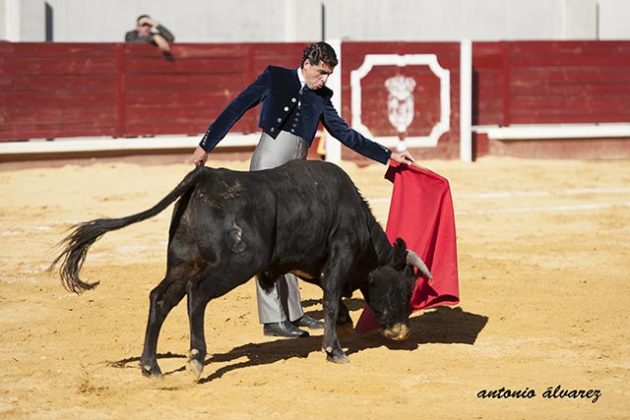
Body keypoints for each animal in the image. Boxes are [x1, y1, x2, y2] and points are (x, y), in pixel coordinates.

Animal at [51, 160, 432, 378]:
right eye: (405, 287)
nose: (402, 332)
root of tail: (204, 176)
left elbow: (331, 298)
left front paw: (342, 325)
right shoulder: (339, 255)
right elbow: (331, 297)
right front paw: (334, 351)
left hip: (182, 262)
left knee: (160, 298)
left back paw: (151, 366)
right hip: (234, 265)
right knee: (197, 294)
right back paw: (195, 360)